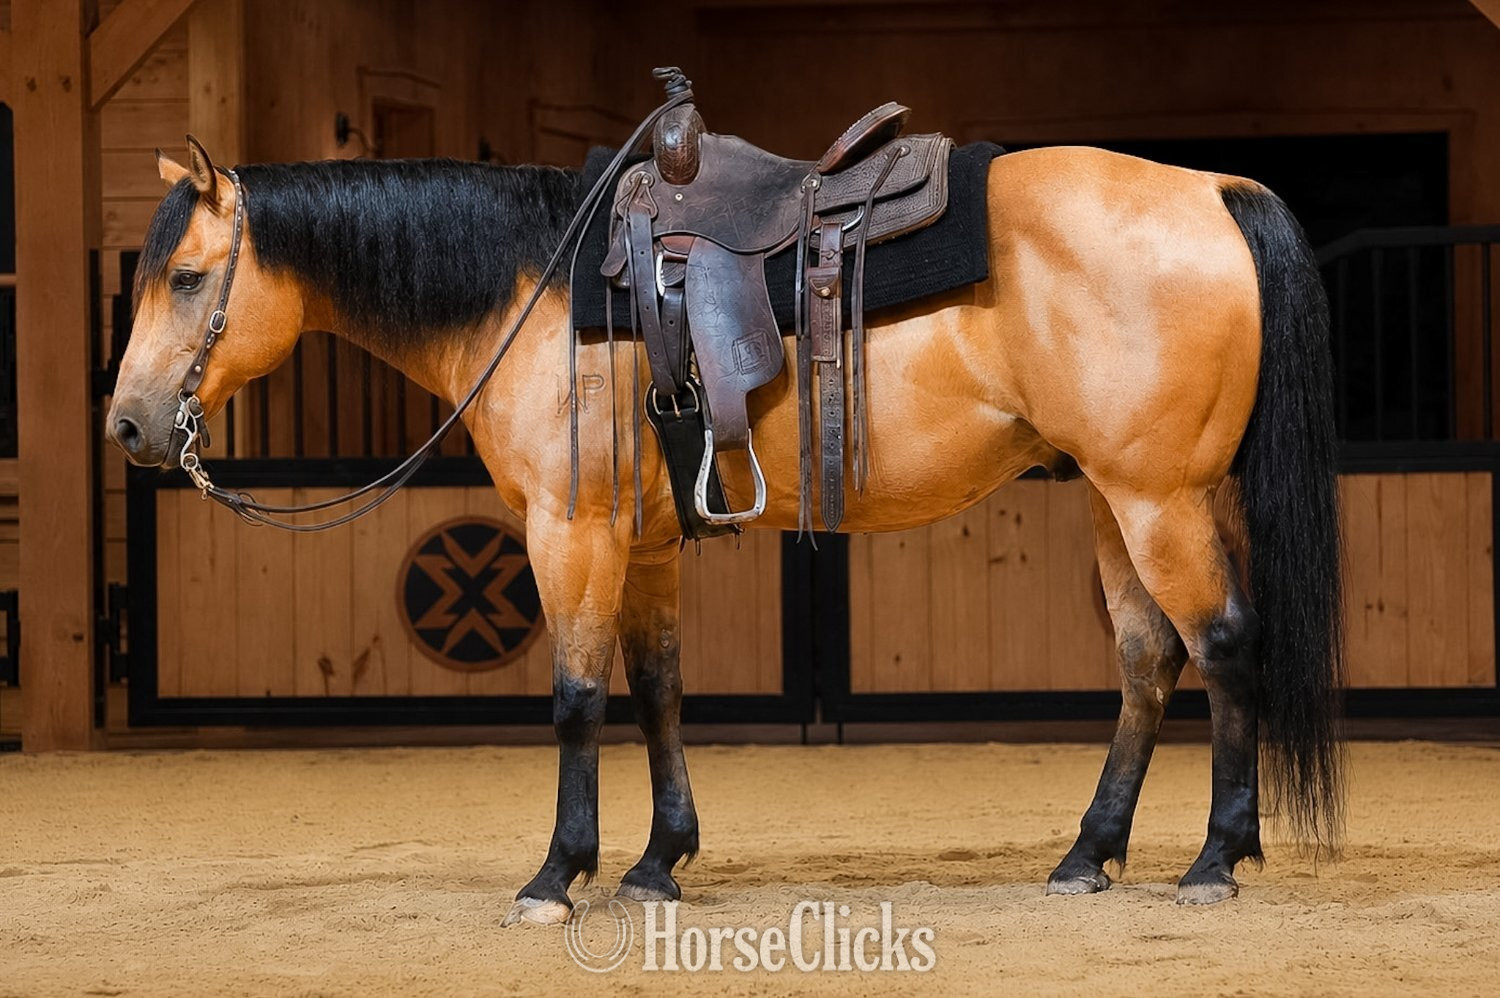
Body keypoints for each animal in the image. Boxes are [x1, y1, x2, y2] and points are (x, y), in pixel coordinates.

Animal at [107, 131, 1344, 923]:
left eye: (188, 276)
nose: (127, 423)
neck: (539, 289)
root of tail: (1213, 188)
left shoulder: (571, 533)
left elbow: (576, 696)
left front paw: (557, 875)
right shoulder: (644, 544)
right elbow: (657, 691)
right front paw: (659, 860)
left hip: (1156, 498)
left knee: (1224, 643)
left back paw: (1216, 856)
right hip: (1113, 497)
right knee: (1148, 659)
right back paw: (1090, 852)